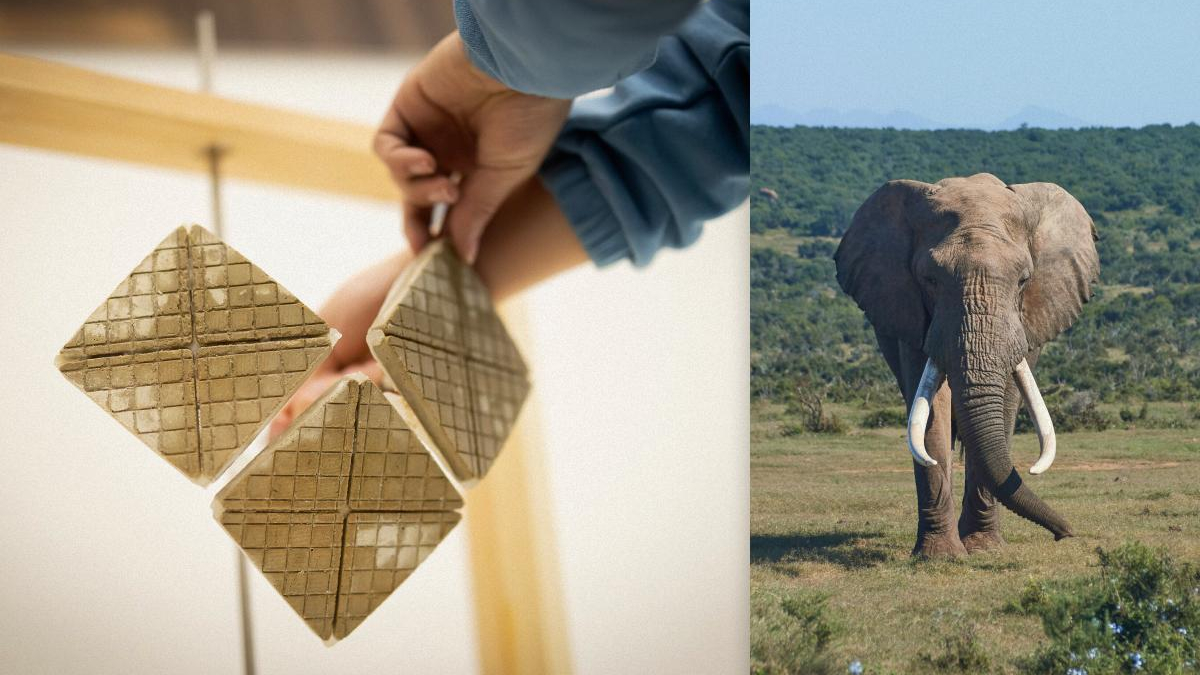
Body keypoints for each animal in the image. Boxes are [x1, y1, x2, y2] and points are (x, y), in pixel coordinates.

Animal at [834, 173, 1099, 558]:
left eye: (1023, 279)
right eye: (929, 280)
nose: (1065, 533)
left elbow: (1006, 400)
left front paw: (984, 550)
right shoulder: (913, 316)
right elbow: (932, 408)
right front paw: (939, 556)